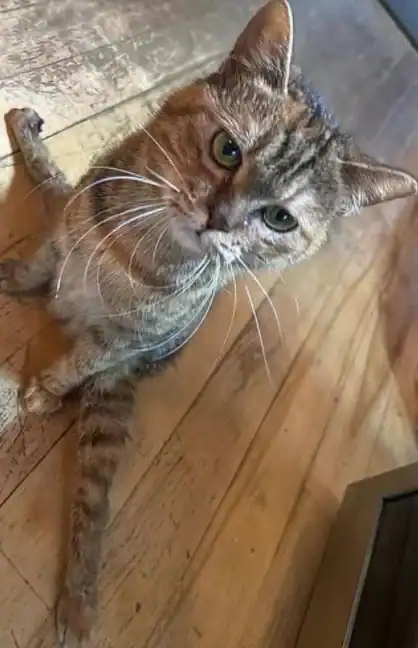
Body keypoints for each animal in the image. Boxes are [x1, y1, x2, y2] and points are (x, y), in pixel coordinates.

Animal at [3, 0, 416, 645]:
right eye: (227, 150)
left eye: (279, 219)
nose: (218, 219)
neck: (127, 250)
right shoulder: (67, 237)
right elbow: (40, 262)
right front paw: (12, 276)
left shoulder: (123, 339)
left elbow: (74, 364)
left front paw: (44, 391)